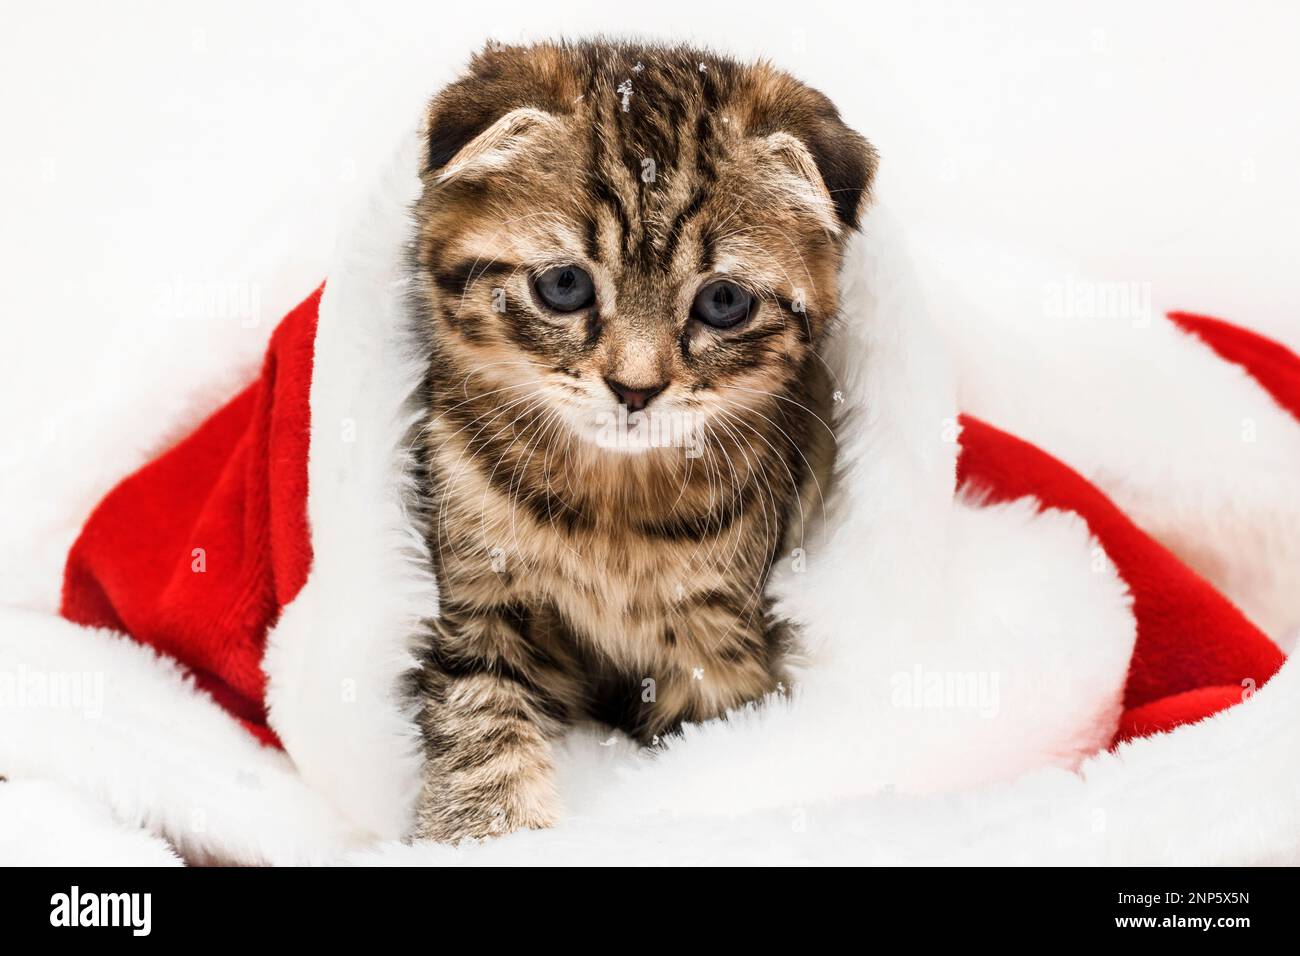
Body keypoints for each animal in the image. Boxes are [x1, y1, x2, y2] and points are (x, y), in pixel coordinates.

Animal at [405, 39, 873, 842]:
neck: (610, 508)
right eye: (564, 286)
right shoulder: (478, 596)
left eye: (724, 301)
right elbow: (480, 720)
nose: (634, 388)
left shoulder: (720, 644)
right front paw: (482, 830)